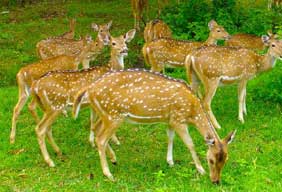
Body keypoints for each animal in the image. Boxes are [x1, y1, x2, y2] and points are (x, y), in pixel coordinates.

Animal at [30, 29, 136, 167]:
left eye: (125, 41)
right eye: (113, 43)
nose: (124, 50)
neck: (109, 69)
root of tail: (36, 86)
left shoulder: (93, 104)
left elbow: (92, 121)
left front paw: (92, 142)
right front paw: (114, 144)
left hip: (47, 107)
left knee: (47, 128)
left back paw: (58, 151)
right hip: (55, 105)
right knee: (40, 129)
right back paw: (50, 161)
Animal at [72, 69, 236, 183]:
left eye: (225, 160)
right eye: (211, 160)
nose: (215, 181)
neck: (192, 111)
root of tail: (89, 89)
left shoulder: (170, 120)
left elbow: (170, 138)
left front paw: (170, 161)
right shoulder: (178, 119)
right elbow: (190, 144)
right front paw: (200, 169)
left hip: (105, 114)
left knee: (96, 129)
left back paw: (113, 159)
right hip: (114, 115)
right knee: (101, 139)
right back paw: (108, 174)